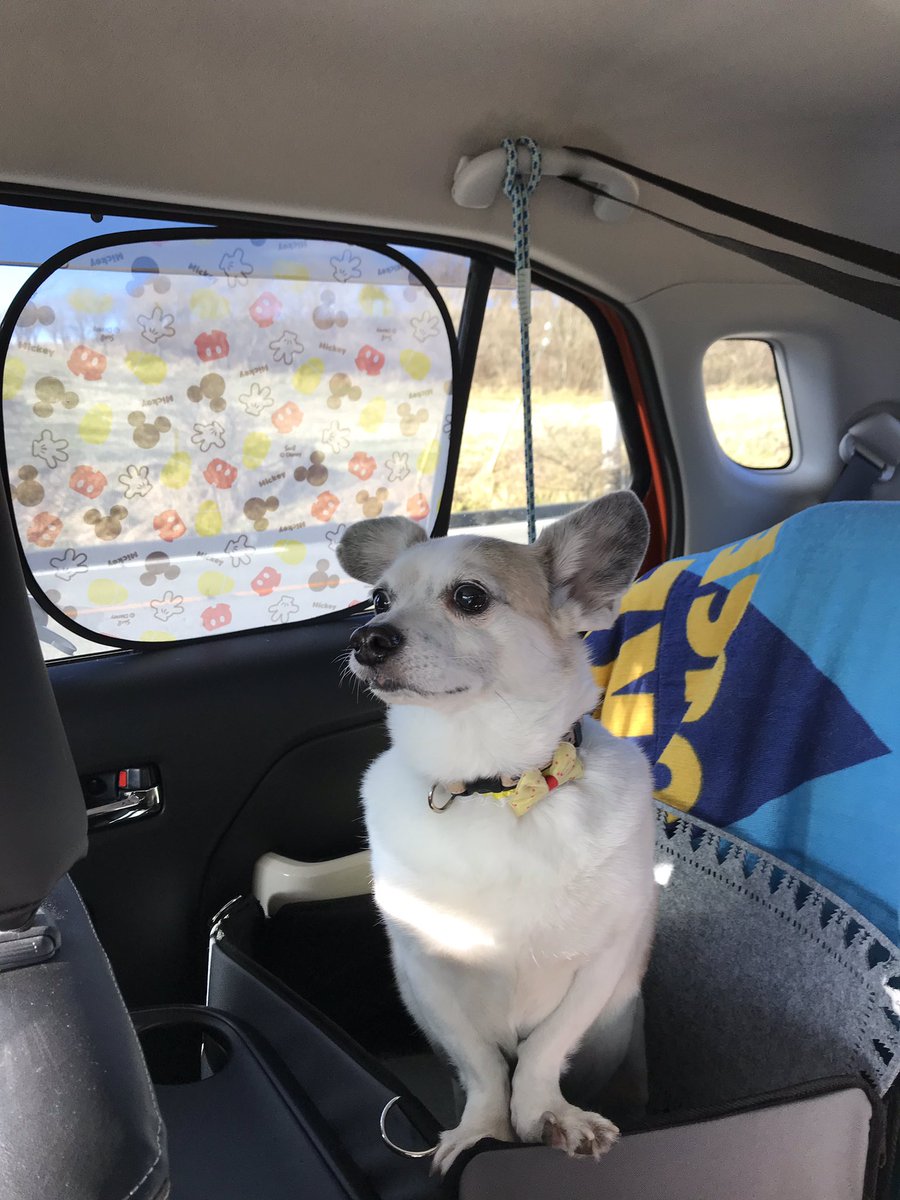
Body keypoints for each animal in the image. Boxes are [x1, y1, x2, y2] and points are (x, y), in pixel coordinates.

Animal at [337, 491, 656, 1173]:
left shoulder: (603, 963)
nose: (366, 637)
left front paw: (546, 1115)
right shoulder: (426, 972)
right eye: (378, 599)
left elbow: (542, 1051)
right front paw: (482, 1130)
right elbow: (482, 1065)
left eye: (469, 597)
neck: (497, 785)